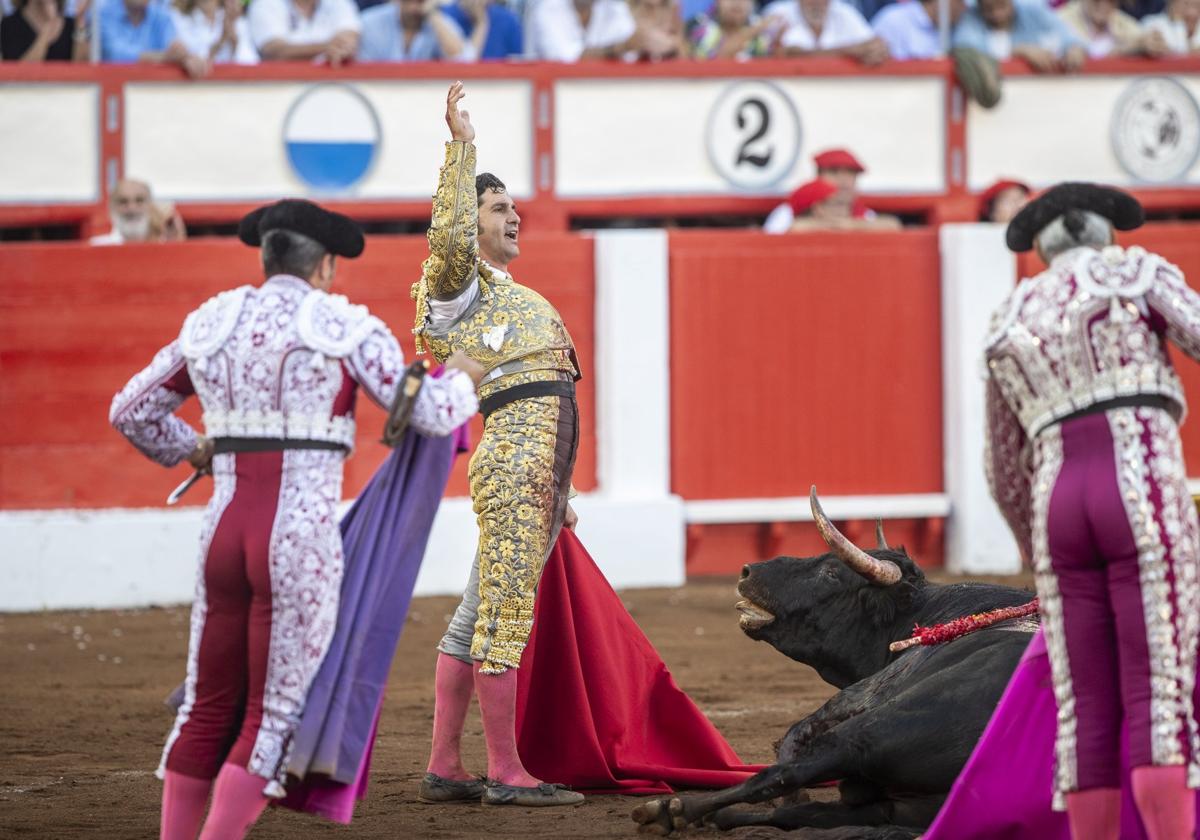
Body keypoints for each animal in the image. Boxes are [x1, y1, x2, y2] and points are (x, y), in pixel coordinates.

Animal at [633, 489, 1036, 835]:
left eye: (831, 573)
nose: (748, 572)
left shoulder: (863, 693)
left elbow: (794, 735)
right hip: (905, 806)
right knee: (808, 813)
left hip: (874, 731)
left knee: (785, 774)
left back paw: (672, 811)